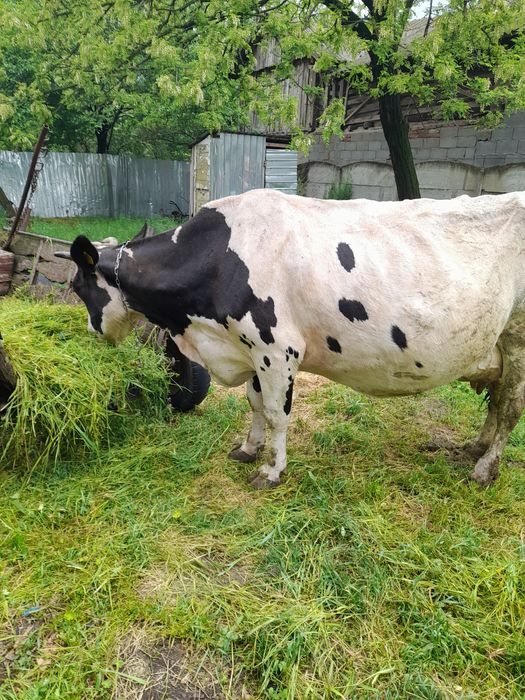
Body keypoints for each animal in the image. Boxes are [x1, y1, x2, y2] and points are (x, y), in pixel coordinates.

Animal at [56, 189, 525, 489]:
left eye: (77, 286)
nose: (91, 331)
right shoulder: (247, 346)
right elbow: (254, 403)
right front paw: (248, 448)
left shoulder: (277, 349)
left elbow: (277, 414)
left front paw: (271, 471)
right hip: (499, 345)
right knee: (498, 399)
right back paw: (472, 448)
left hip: (519, 340)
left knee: (509, 409)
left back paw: (485, 469)